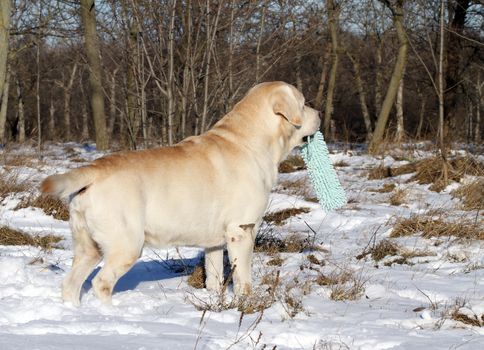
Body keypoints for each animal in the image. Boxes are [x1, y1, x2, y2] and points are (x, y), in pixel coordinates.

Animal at [41, 80, 320, 304]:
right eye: (303, 103)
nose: (319, 113)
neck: (251, 142)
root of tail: (95, 169)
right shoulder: (242, 230)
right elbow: (243, 278)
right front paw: (246, 303)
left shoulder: (214, 242)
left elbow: (214, 278)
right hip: (126, 244)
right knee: (101, 283)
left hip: (88, 246)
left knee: (70, 284)